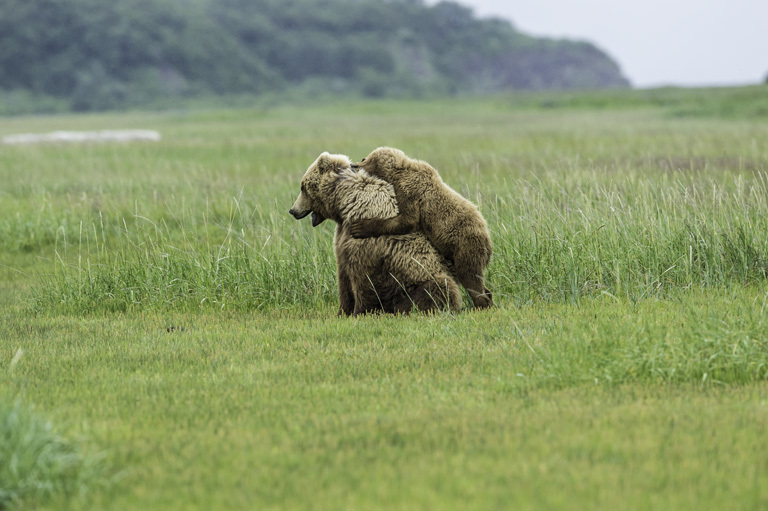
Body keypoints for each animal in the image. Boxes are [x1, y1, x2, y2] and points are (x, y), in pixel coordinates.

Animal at [290, 151, 462, 316]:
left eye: (302, 187)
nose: (292, 211)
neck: (345, 204)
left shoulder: (365, 242)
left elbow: (363, 280)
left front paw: (359, 312)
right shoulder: (342, 236)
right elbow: (343, 277)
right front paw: (342, 312)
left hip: (418, 280)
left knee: (441, 288)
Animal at [348, 148, 492, 308]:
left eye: (365, 160)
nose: (353, 165)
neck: (397, 175)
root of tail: (488, 242)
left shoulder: (409, 191)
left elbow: (406, 221)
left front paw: (359, 227)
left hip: (465, 246)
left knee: (469, 277)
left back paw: (481, 304)